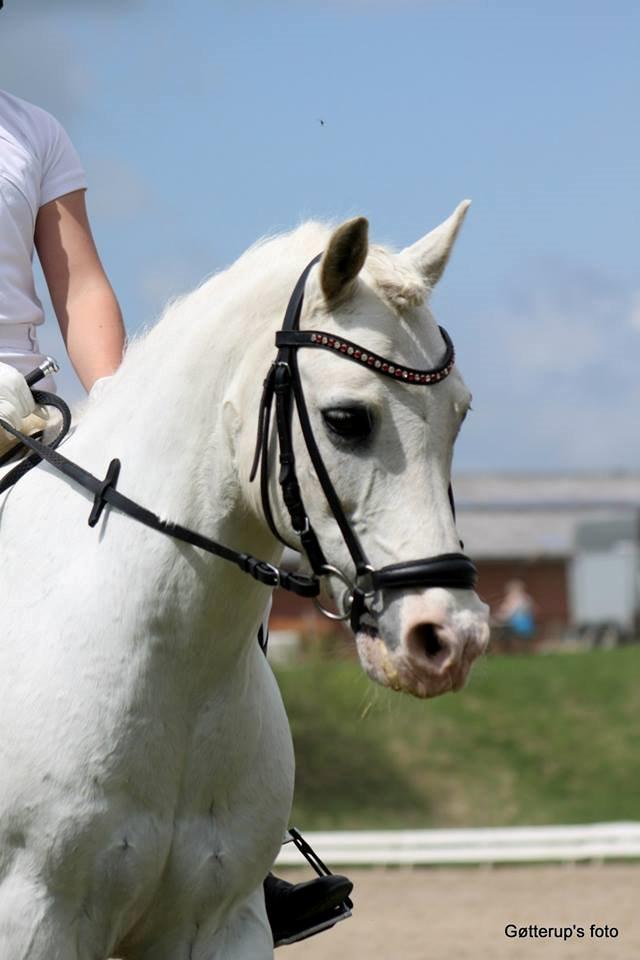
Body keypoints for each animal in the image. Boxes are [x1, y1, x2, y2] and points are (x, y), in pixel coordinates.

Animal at [0, 202, 489, 959]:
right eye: (346, 420)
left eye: (459, 416)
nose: (450, 639)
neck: (178, 669)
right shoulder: (32, 920)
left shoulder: (222, 922)